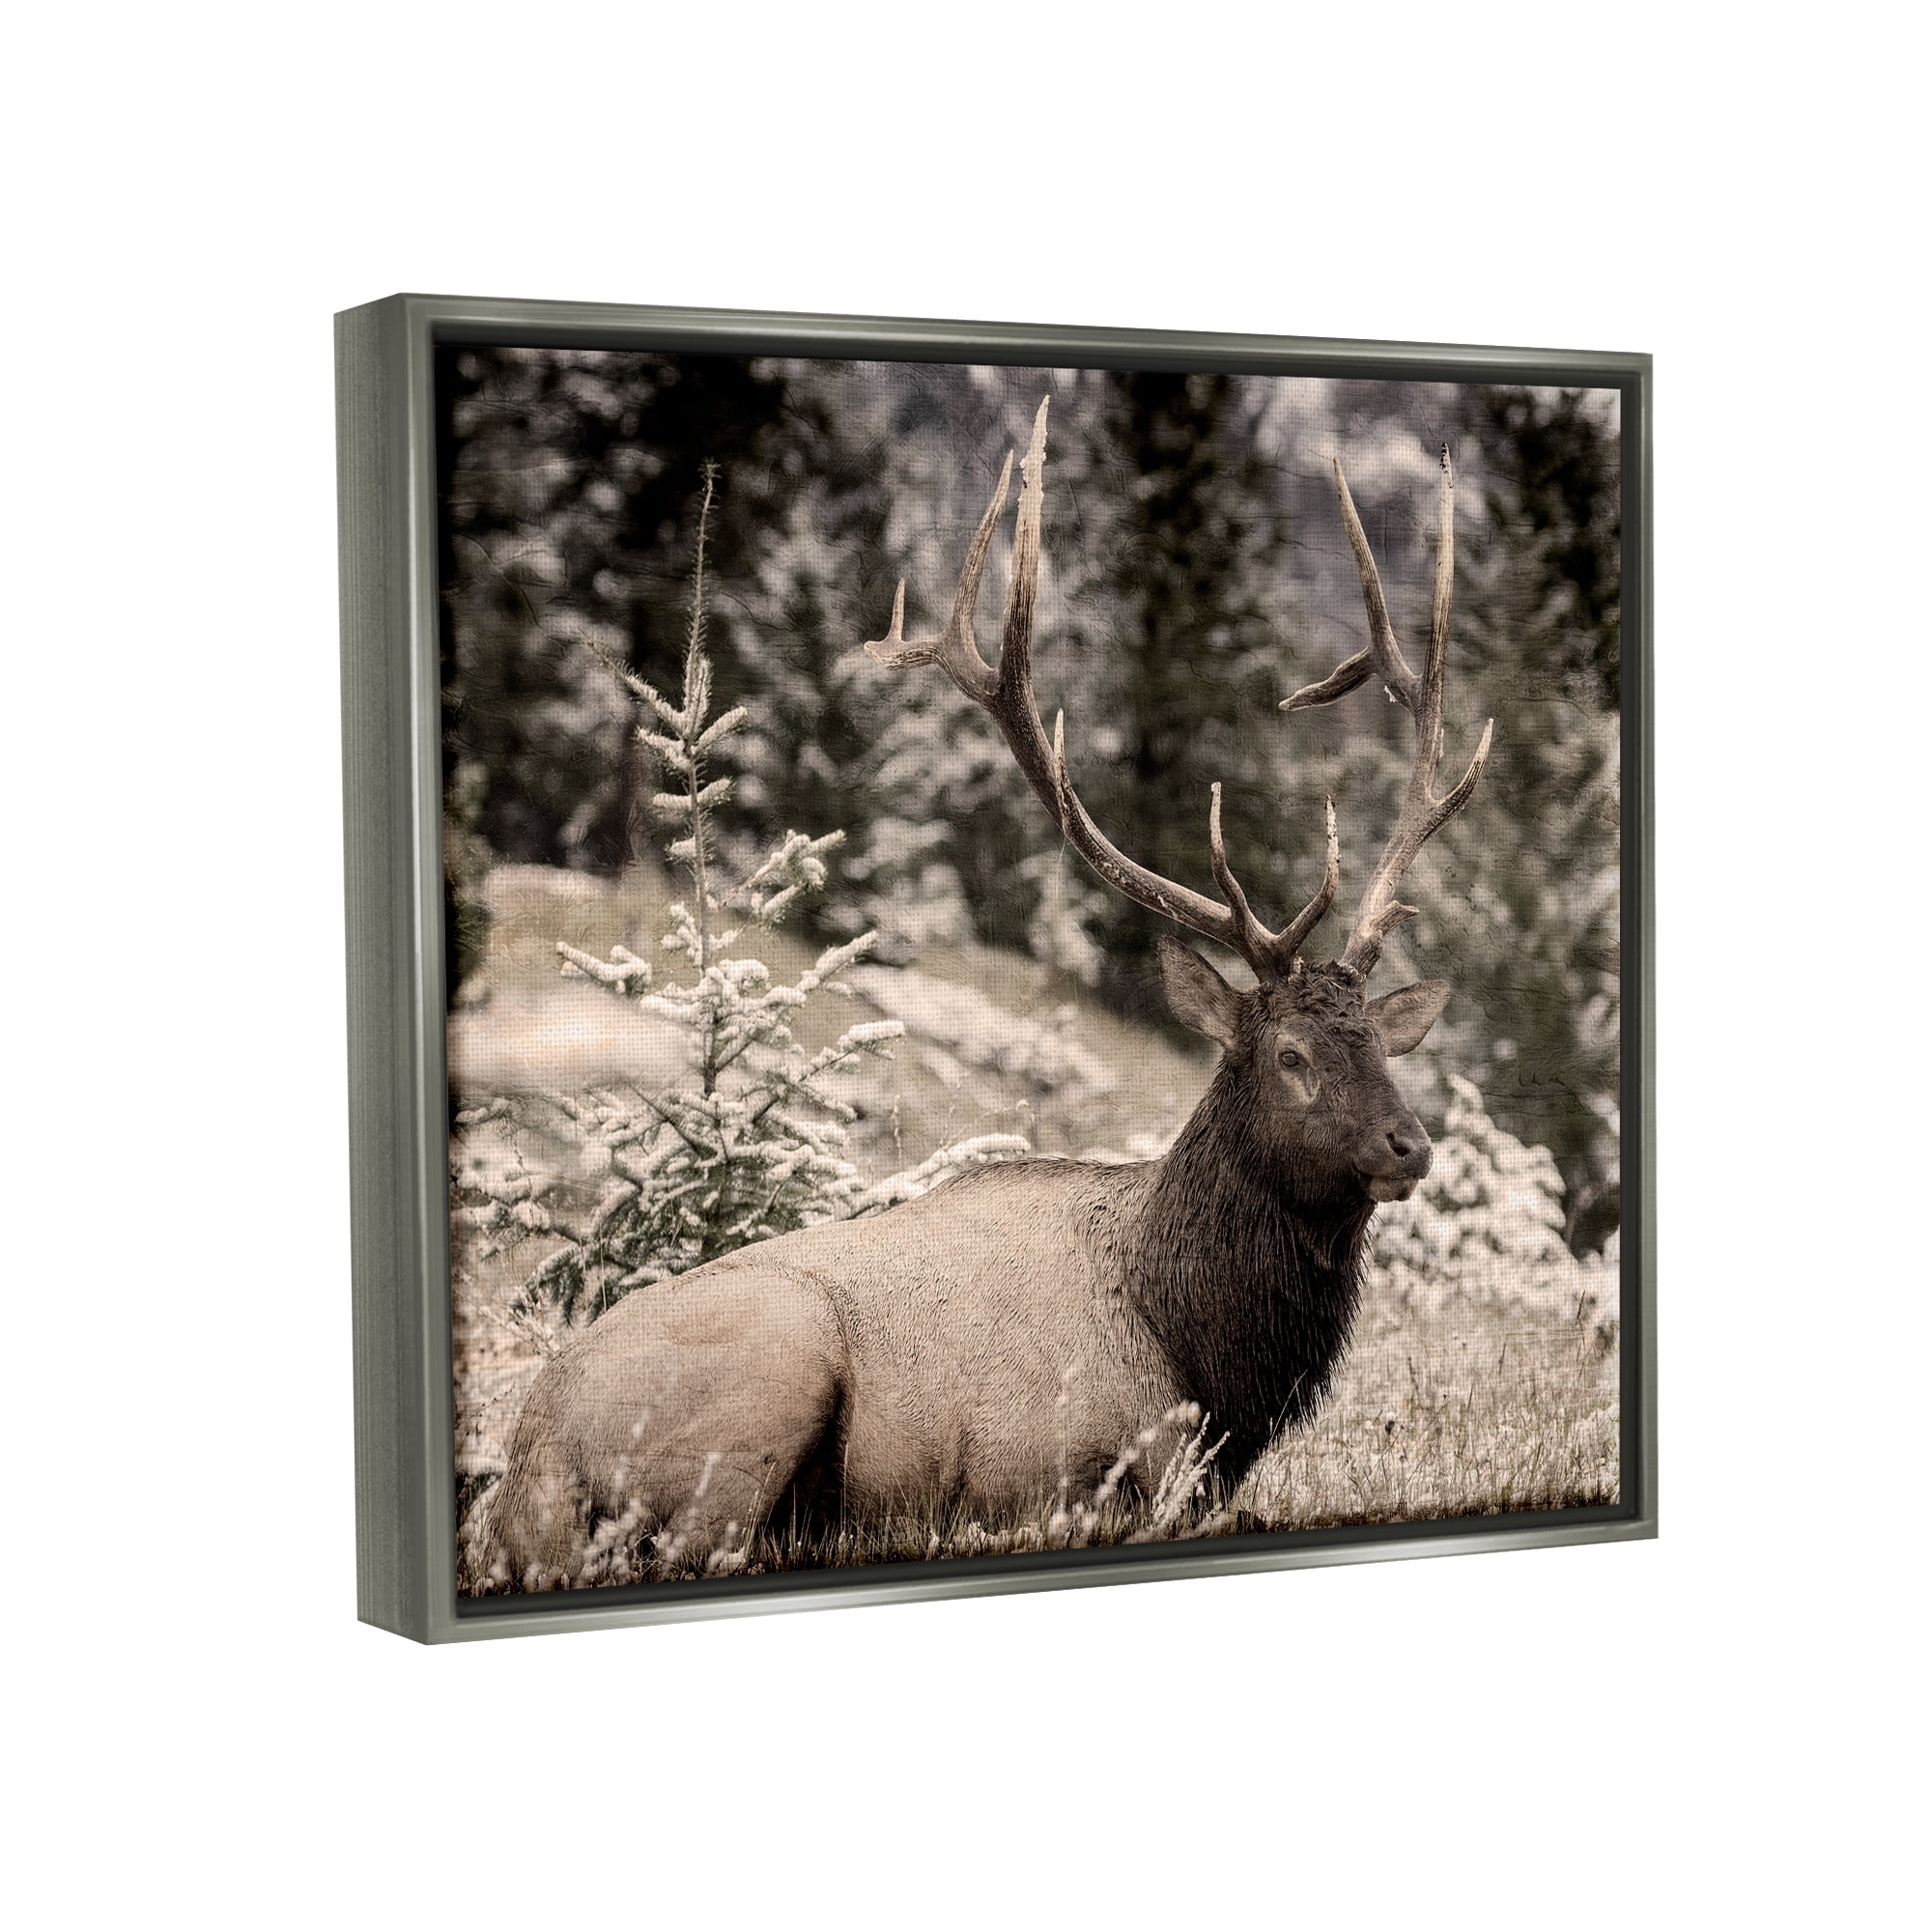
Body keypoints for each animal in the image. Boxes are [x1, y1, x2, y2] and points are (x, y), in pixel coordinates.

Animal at [481, 397, 1491, 1589]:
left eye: (1381, 1044)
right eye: (1289, 1054)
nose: (1407, 1144)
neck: (1203, 1352)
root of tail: (525, 1464)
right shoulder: (1063, 1459)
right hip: (771, 1366)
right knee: (703, 1545)